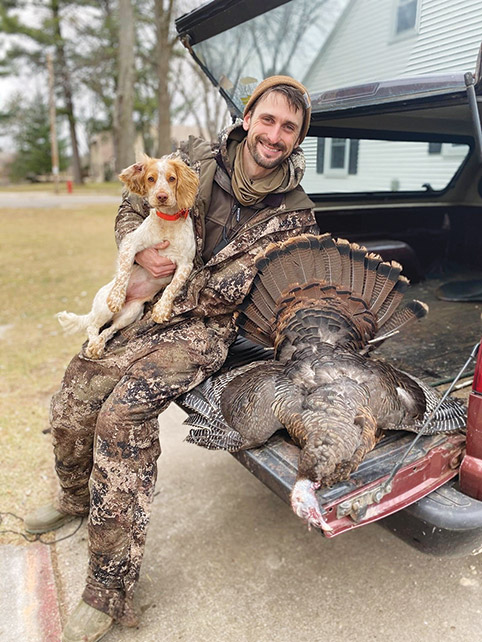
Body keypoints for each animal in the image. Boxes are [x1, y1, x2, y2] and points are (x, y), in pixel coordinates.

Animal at [57, 152, 200, 358]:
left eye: (172, 178)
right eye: (151, 179)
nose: (161, 196)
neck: (167, 223)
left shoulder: (186, 263)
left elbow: (172, 287)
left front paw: (161, 310)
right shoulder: (130, 243)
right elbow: (124, 271)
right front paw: (117, 297)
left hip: (132, 313)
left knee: (110, 330)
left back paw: (98, 344)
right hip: (103, 309)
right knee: (92, 326)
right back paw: (94, 343)